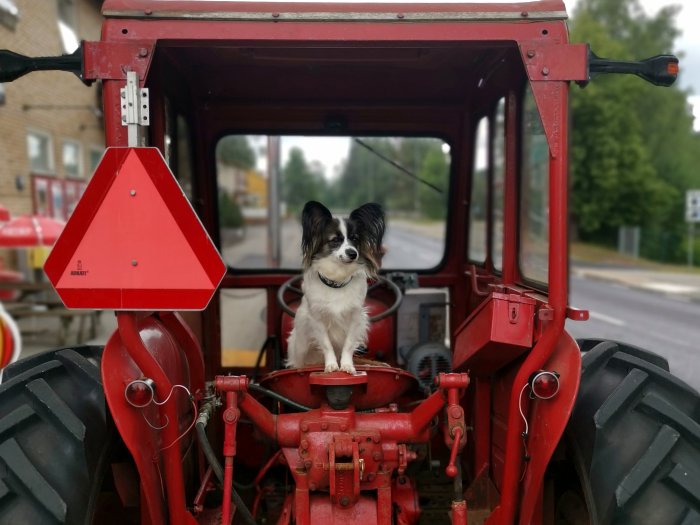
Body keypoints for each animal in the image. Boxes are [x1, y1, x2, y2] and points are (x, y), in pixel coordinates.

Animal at [286, 200, 388, 372]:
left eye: (355, 239)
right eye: (335, 240)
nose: (353, 253)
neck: (337, 282)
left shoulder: (355, 318)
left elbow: (348, 345)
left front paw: (347, 365)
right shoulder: (317, 320)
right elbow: (327, 345)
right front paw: (331, 365)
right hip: (300, 347)